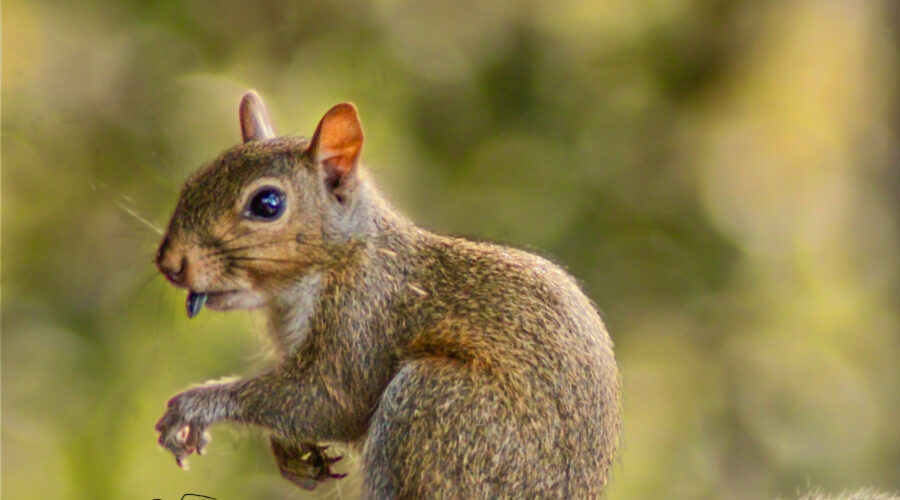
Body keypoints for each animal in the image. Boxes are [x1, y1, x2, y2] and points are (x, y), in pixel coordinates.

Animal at [153, 91, 620, 500]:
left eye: (268, 203)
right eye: (193, 182)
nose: (170, 263)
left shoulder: (363, 312)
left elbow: (328, 400)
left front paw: (196, 405)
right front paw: (292, 454)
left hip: (439, 407)